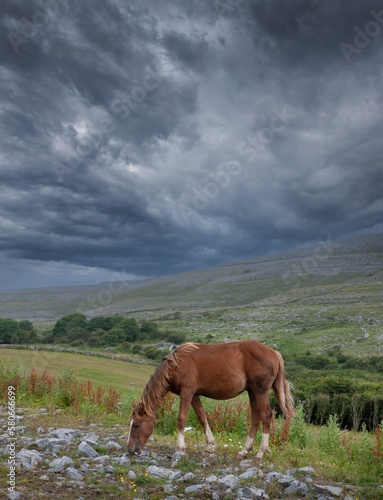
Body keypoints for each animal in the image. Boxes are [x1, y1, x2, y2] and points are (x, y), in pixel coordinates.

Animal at [127, 340, 296, 460]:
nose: (130, 450)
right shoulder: (194, 395)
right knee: (255, 419)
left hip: (260, 391)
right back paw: (244, 451)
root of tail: (274, 353)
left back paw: (261, 452)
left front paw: (180, 447)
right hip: (252, 392)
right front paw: (210, 445)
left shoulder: (187, 392)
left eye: (136, 425)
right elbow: (202, 418)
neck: (176, 364)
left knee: (266, 416)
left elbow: (181, 419)